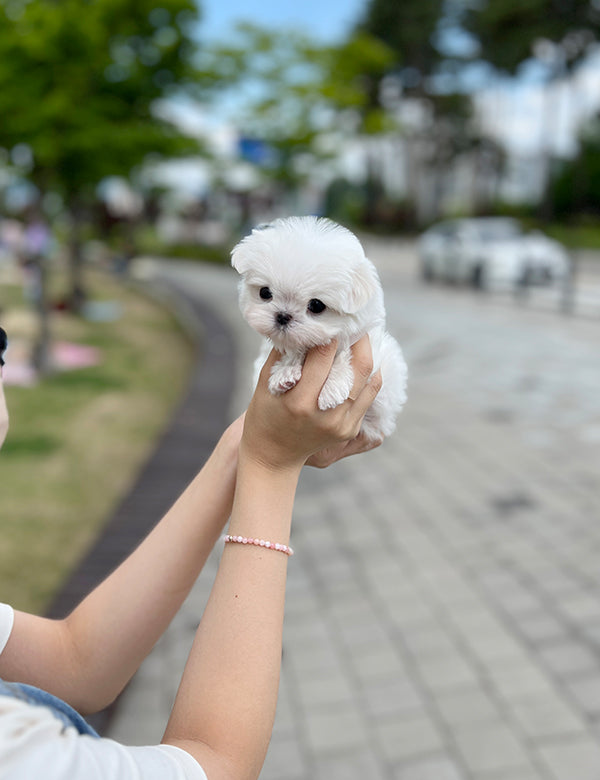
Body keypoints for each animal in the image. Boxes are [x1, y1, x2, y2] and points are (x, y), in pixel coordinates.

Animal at [231, 216, 408, 442]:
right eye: (265, 292)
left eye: (316, 305)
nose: (282, 316)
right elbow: (288, 354)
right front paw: (285, 373)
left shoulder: (368, 342)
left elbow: (344, 354)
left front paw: (331, 388)